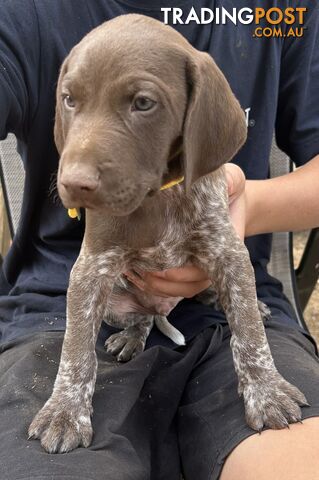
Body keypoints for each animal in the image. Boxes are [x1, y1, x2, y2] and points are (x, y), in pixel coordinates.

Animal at [28, 12, 308, 454]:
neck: (158, 195)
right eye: (69, 99)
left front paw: (266, 391)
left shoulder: (227, 251)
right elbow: (76, 348)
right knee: (142, 318)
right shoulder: (91, 270)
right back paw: (132, 337)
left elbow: (249, 332)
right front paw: (65, 411)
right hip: (118, 303)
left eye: (143, 103)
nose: (73, 183)